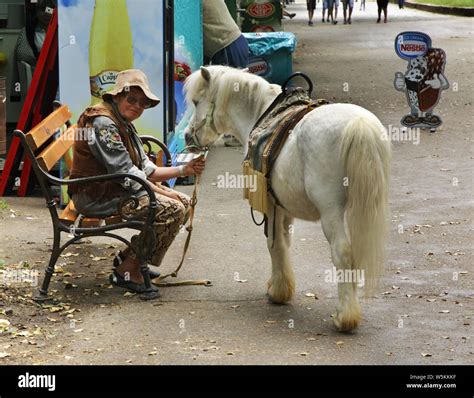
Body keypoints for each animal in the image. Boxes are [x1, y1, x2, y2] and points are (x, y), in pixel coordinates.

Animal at [183, 66, 390, 332]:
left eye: (196, 101)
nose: (187, 137)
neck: (262, 113)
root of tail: (358, 124)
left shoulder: (271, 205)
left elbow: (274, 244)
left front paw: (278, 292)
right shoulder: (284, 208)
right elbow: (285, 241)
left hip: (331, 212)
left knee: (342, 252)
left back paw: (345, 317)